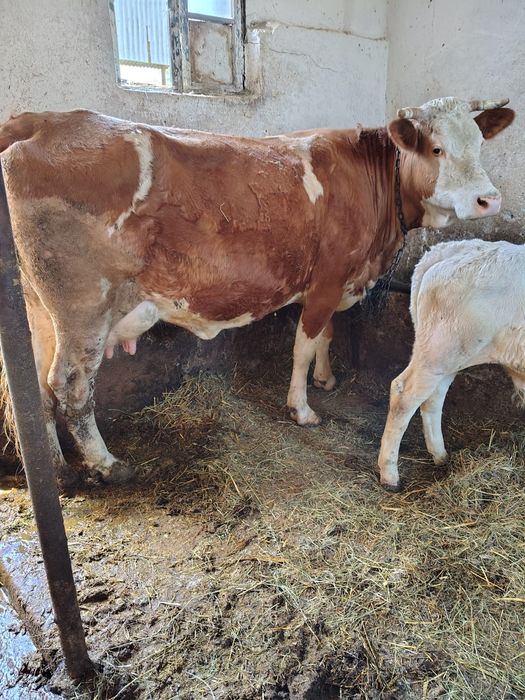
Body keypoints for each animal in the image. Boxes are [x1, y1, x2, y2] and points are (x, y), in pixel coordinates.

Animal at [378, 238, 525, 491]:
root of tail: (452, 249)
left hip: (446, 357)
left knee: (432, 399)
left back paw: (440, 456)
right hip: (440, 352)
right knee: (404, 395)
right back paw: (390, 475)